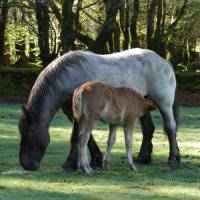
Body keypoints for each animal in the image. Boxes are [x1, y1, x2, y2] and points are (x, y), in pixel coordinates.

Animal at [19, 48, 180, 170]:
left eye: (27, 134)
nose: (26, 165)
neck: (69, 76)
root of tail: (163, 61)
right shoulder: (76, 114)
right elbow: (85, 137)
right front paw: (95, 159)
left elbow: (76, 137)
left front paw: (70, 163)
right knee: (148, 129)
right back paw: (143, 157)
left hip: (164, 104)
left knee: (170, 127)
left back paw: (174, 159)